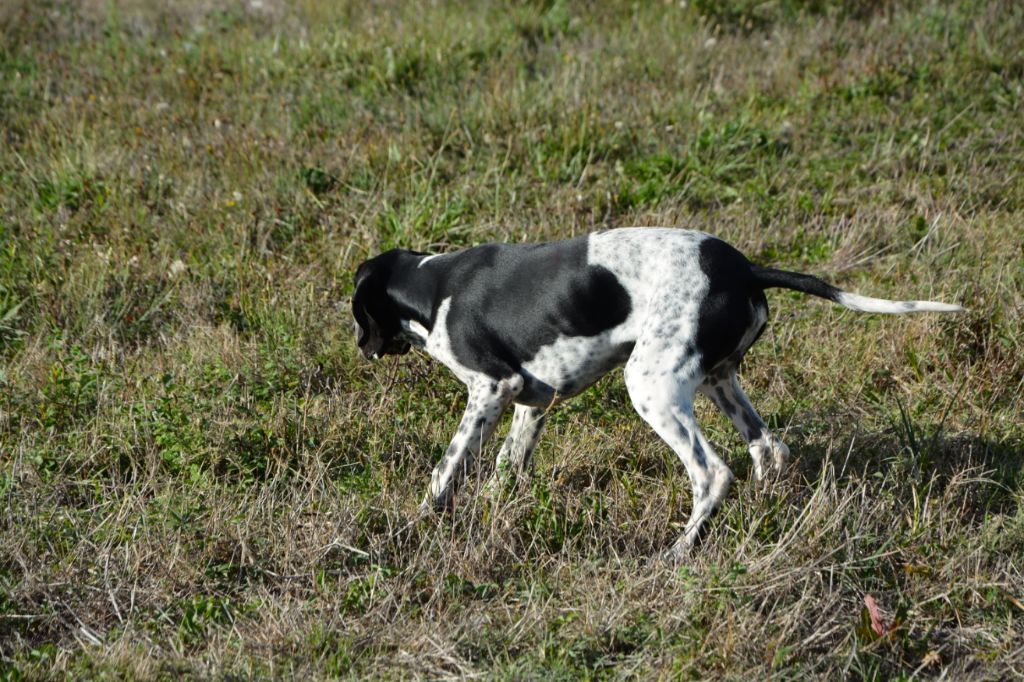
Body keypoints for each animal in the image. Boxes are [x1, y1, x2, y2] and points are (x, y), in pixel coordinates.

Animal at [352, 228, 958, 557]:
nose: (359, 346)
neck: (432, 288)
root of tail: (746, 270)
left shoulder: (492, 388)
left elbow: (445, 468)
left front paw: (418, 522)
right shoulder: (533, 400)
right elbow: (508, 464)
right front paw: (498, 509)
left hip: (653, 387)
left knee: (714, 473)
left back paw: (678, 552)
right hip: (718, 382)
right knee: (769, 450)